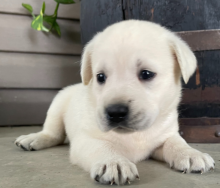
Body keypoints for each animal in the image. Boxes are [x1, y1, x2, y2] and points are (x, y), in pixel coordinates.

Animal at [15, 20, 215, 185]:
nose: (115, 112)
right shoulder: (85, 139)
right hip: (58, 104)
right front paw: (114, 162)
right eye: (100, 77)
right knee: (53, 133)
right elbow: (103, 146)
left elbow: (176, 142)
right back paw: (34, 138)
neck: (134, 136)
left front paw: (191, 153)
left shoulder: (165, 135)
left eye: (146, 74)